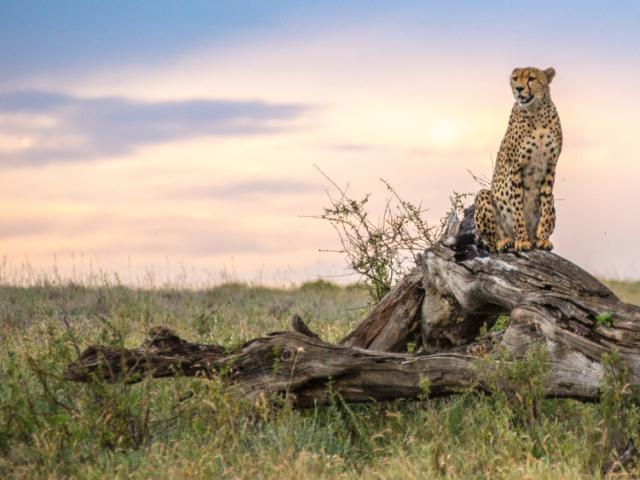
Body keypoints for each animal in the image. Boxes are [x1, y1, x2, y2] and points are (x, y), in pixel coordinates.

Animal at [474, 66, 562, 252]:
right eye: (515, 78)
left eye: (531, 78)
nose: (519, 89)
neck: (536, 112)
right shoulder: (516, 168)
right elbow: (517, 208)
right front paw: (522, 241)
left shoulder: (550, 167)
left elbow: (545, 207)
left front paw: (543, 238)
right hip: (483, 195)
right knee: (491, 242)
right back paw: (506, 241)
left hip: (553, 199)